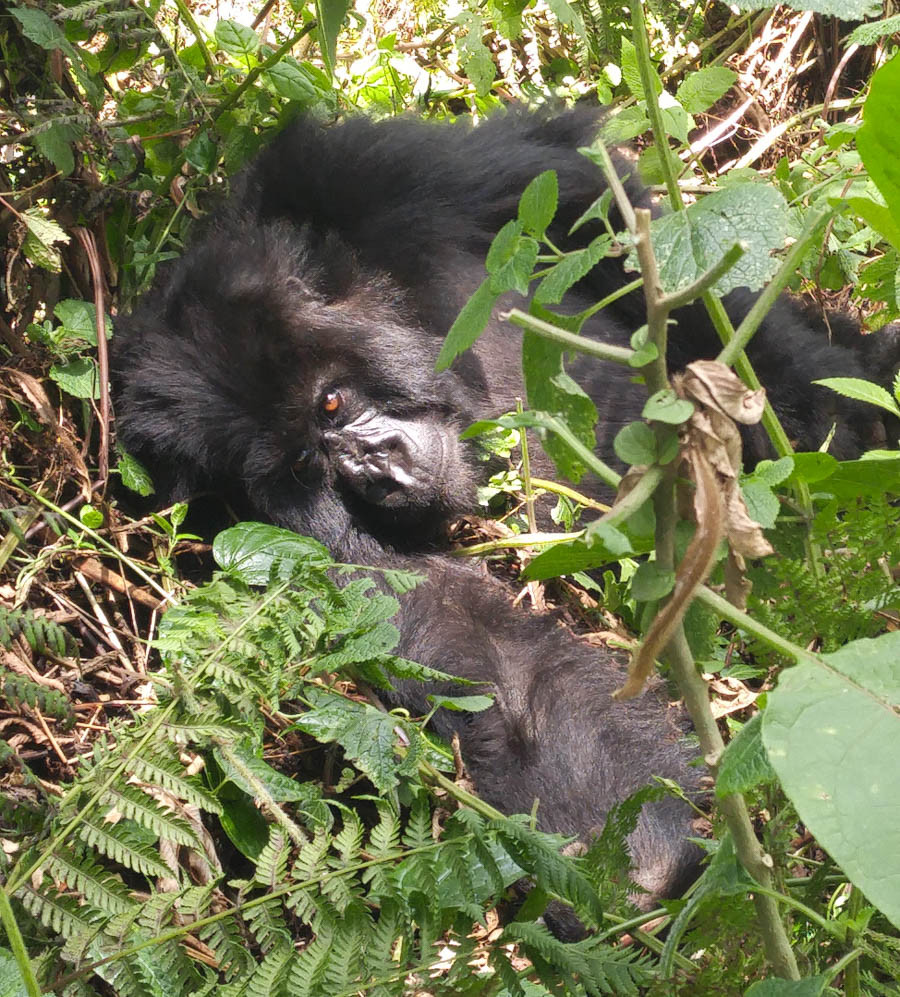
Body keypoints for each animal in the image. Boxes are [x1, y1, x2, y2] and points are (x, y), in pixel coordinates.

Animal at [109, 111, 896, 920]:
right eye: (303, 466)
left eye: (330, 402)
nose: (377, 467)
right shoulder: (285, 535)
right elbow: (485, 656)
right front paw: (634, 866)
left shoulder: (361, 171)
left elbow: (610, 217)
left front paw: (838, 405)